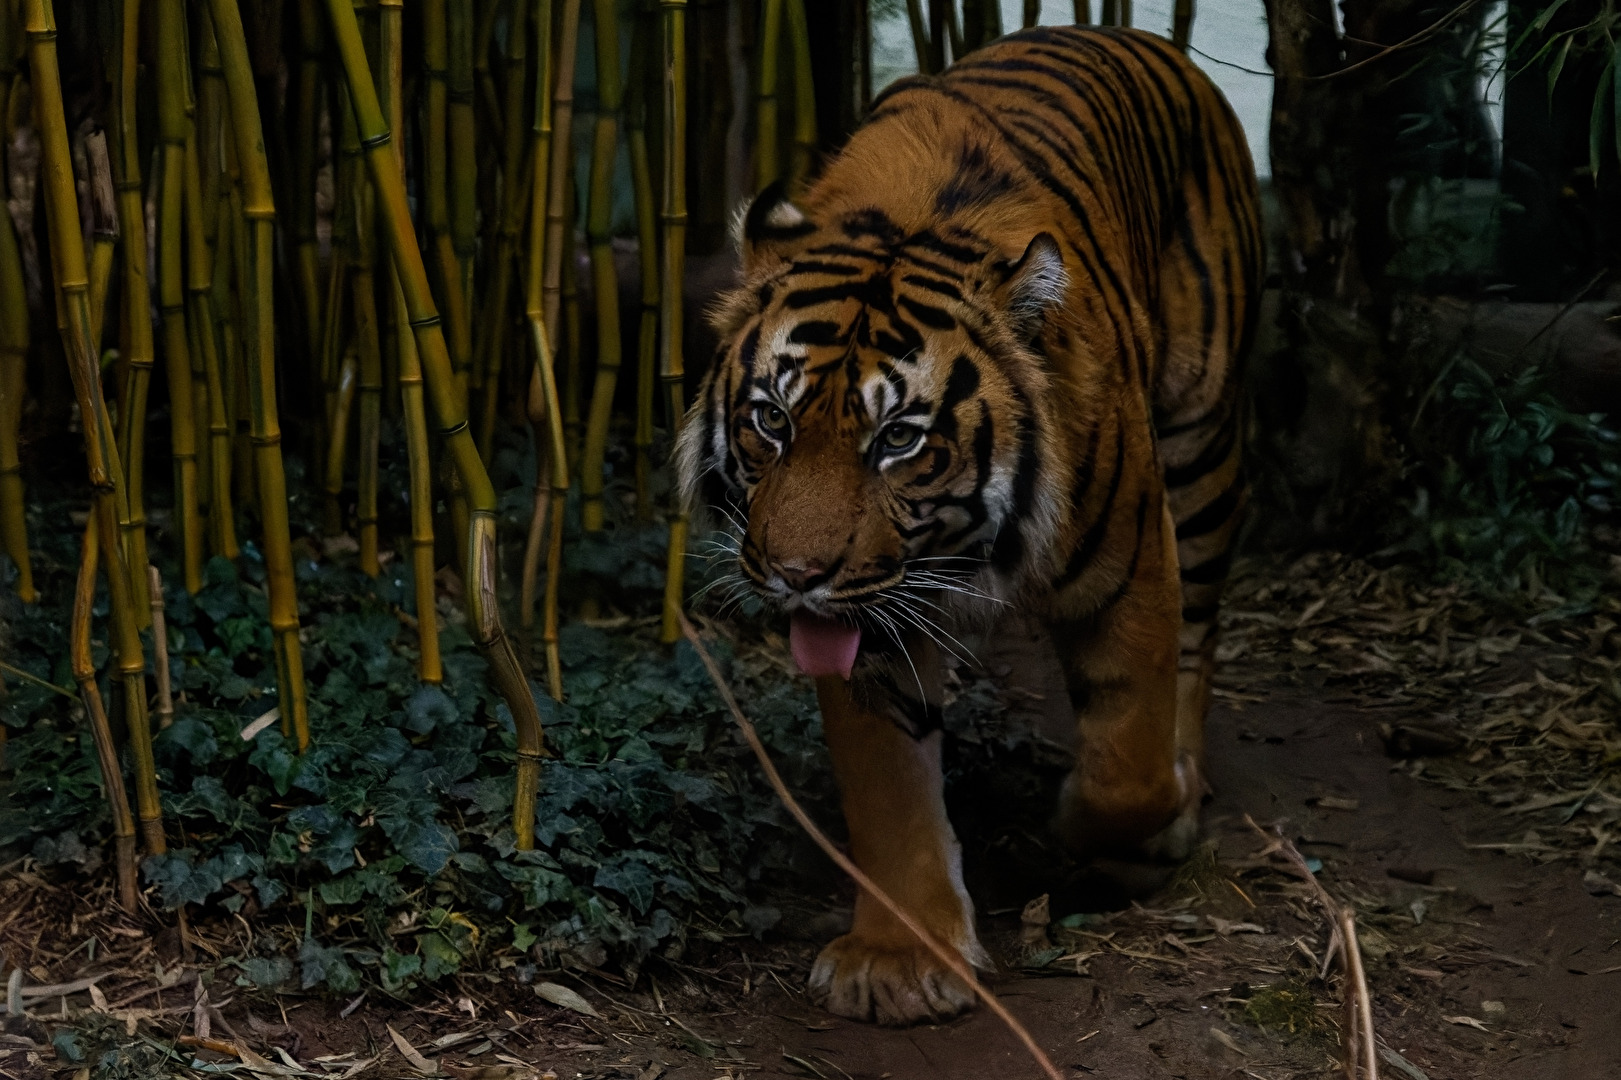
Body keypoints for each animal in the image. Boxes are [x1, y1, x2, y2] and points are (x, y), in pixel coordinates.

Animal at [676, 24, 1263, 1025]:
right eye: (771, 421)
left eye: (897, 439)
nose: (794, 576)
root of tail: (1134, 33)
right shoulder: (869, 617)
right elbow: (888, 786)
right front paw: (899, 961)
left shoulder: (1132, 569)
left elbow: (1128, 761)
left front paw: (1094, 823)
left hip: (1200, 446)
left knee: (1195, 642)